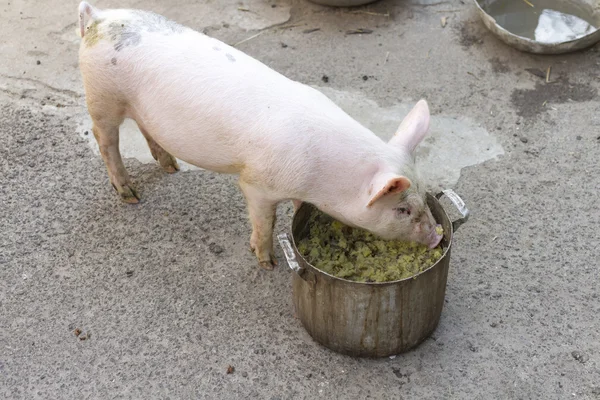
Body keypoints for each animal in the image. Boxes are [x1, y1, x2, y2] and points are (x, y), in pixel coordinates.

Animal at [76, 1, 446, 270]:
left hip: (138, 107)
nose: (436, 239)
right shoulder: (256, 184)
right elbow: (265, 221)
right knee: (105, 139)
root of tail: (98, 17)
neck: (325, 178)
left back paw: (172, 168)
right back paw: (130, 195)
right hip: (102, 97)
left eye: (424, 196)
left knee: (145, 128)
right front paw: (267, 263)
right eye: (402, 210)